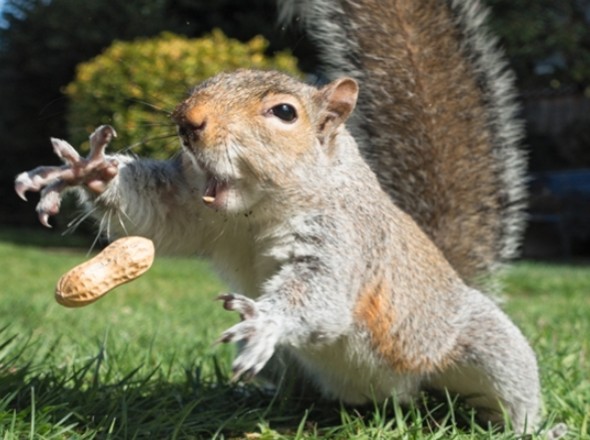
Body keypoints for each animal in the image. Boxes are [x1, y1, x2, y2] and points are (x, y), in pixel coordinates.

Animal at [15, 0, 564, 434]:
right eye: (203, 83)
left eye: (284, 113)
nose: (188, 121)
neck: (255, 211)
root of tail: (390, 400)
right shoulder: (189, 206)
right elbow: (152, 216)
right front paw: (86, 171)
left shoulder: (346, 238)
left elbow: (321, 293)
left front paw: (267, 319)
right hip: (294, 366)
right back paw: (256, 398)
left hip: (482, 349)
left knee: (511, 394)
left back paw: (535, 428)